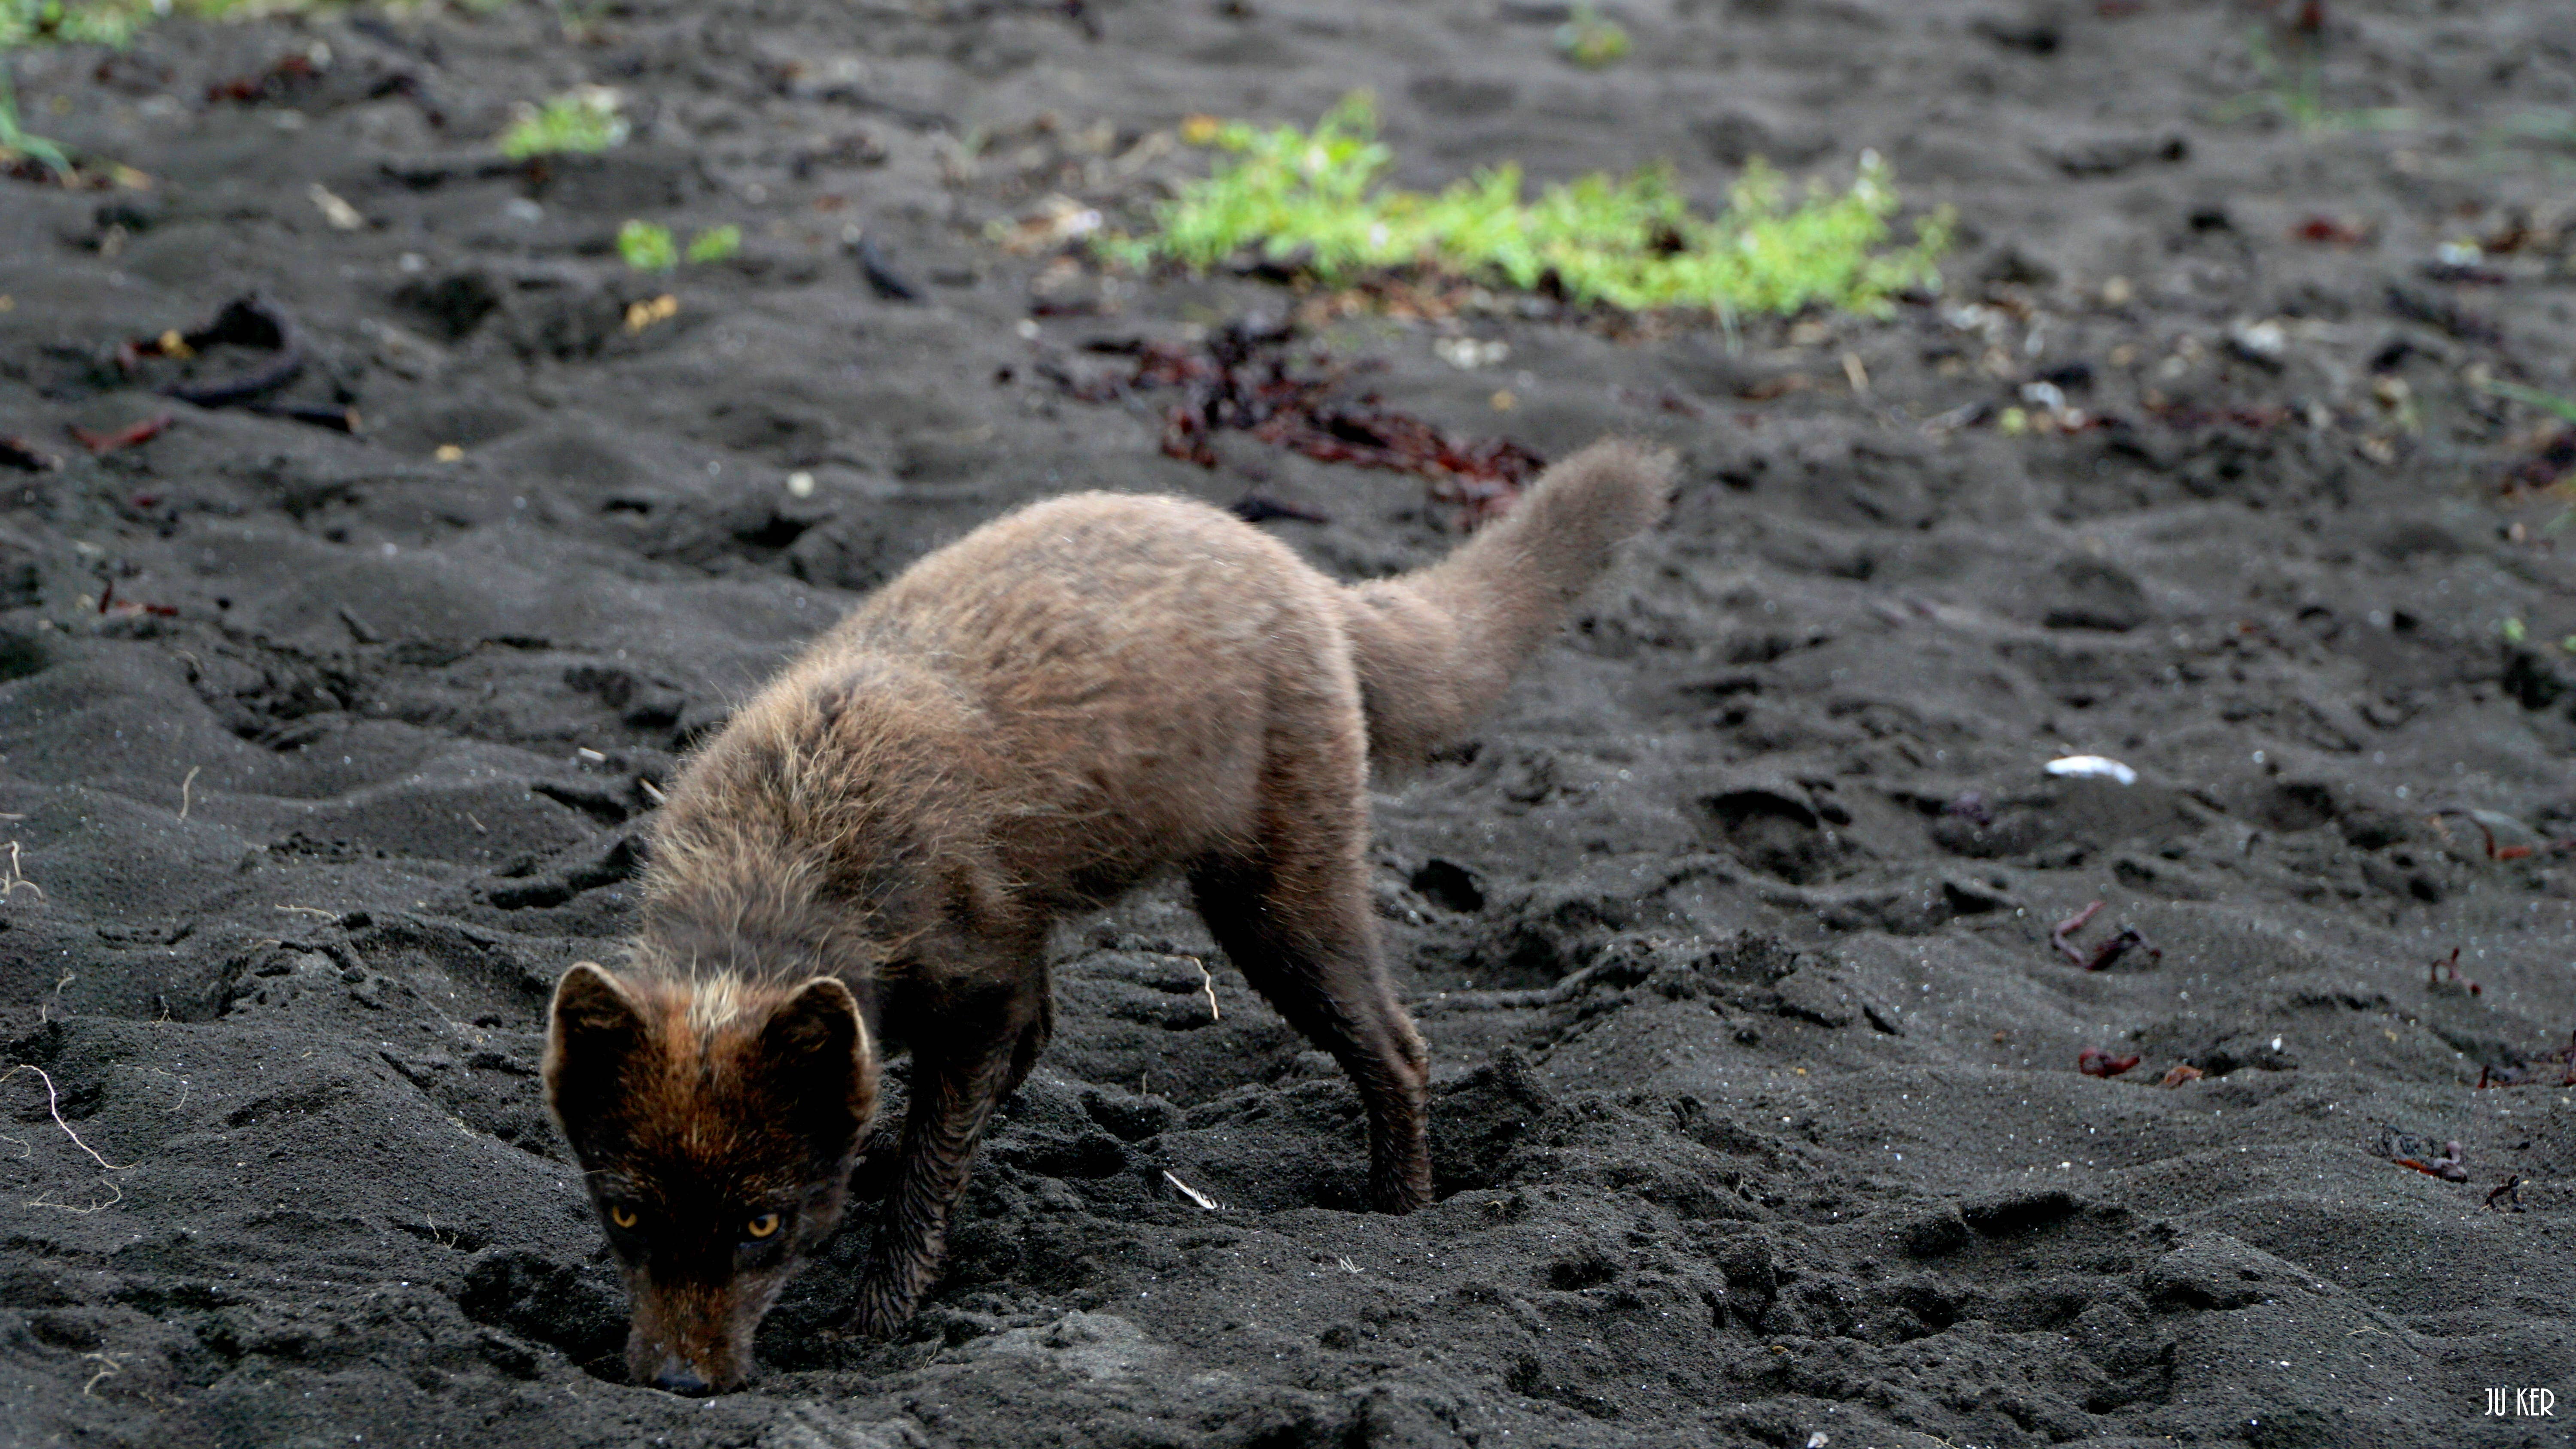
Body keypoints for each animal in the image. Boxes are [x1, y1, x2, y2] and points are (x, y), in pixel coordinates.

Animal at [541, 437, 1673, 1393]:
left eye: (762, 1222)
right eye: (625, 1210)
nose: (678, 1385)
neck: (792, 851)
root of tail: (1301, 574)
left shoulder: (978, 984)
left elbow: (929, 1171)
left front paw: (874, 1317)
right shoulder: (992, 967)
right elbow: (954, 1102)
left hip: (1278, 907)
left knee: (1401, 1046)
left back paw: (1400, 1212)